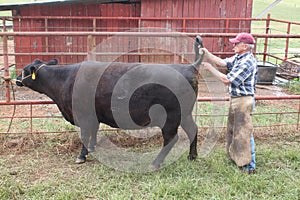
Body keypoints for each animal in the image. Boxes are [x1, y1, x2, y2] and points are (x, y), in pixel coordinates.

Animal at [15, 36, 204, 168]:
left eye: (25, 70)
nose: (17, 79)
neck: (65, 80)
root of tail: (189, 66)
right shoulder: (94, 116)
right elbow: (94, 132)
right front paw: (91, 148)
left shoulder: (84, 116)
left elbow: (85, 135)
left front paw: (81, 156)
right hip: (184, 114)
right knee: (193, 130)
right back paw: (192, 156)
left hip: (171, 117)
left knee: (171, 138)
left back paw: (155, 163)